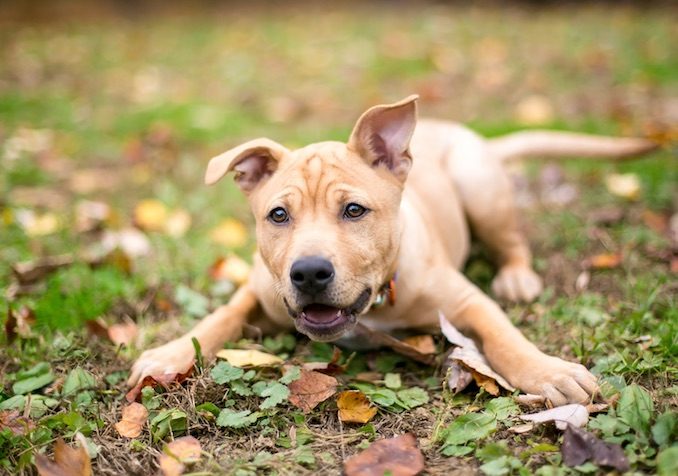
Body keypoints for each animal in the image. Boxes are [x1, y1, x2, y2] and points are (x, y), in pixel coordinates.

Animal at [129, 96, 660, 406]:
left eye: (354, 210)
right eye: (278, 216)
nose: (309, 273)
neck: (376, 305)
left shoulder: (467, 301)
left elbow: (504, 338)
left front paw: (546, 371)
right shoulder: (260, 290)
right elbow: (221, 315)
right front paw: (170, 353)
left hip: (480, 187)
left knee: (512, 241)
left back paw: (517, 276)